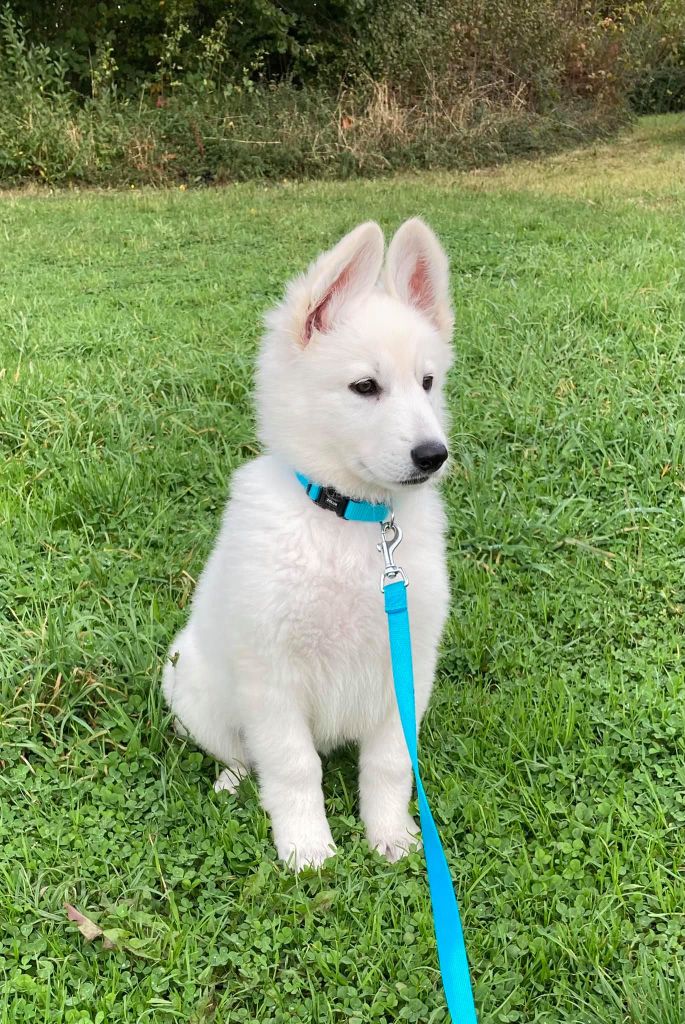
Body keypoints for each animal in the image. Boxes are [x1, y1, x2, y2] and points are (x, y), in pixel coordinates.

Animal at [162, 218, 454, 870]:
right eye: (365, 386)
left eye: (427, 382)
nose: (434, 455)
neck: (352, 524)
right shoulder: (272, 677)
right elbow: (294, 768)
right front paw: (306, 847)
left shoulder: (407, 667)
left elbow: (391, 763)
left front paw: (391, 834)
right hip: (192, 684)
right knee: (238, 753)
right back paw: (231, 782)